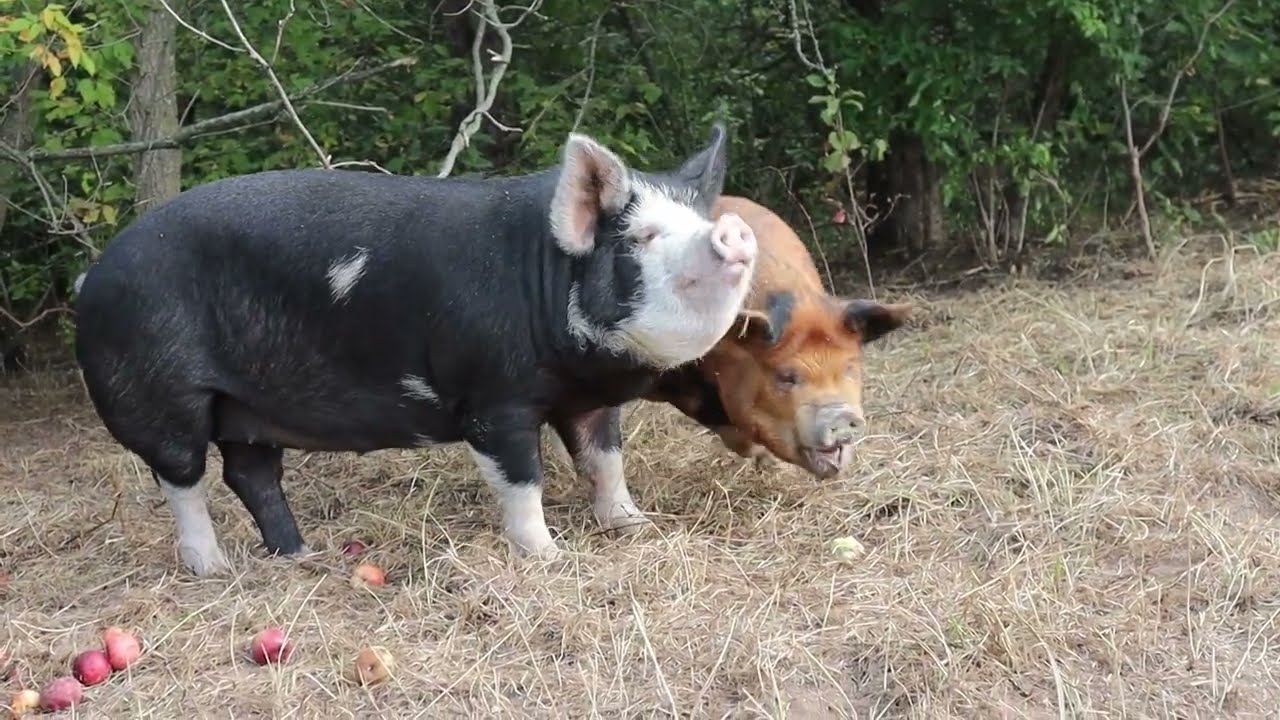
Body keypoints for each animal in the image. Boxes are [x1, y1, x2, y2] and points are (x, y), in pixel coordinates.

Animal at [73, 123, 758, 577]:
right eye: (642, 236)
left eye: (701, 220)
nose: (733, 231)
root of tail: (94, 277)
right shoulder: (493, 398)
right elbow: (523, 479)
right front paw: (546, 554)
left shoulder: (588, 402)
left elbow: (605, 461)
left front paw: (634, 524)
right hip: (160, 394)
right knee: (183, 477)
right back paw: (213, 569)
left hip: (246, 407)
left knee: (250, 474)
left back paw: (301, 555)